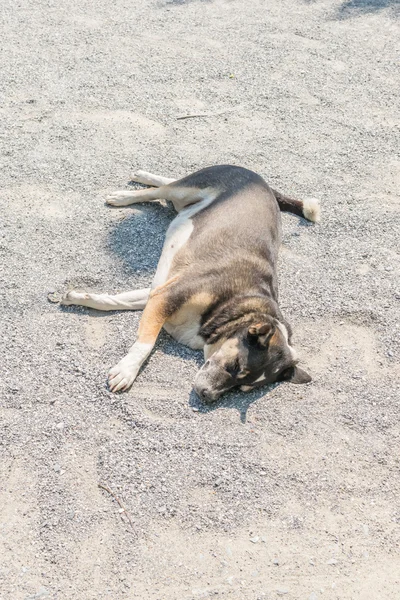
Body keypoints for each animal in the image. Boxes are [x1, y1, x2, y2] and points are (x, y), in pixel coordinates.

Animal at [61, 164, 320, 400]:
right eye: (235, 365)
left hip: (183, 201)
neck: (234, 308)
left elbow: (115, 301)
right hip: (187, 188)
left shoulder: (158, 292)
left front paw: (78, 297)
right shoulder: (167, 297)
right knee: (160, 190)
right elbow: (145, 343)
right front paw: (127, 371)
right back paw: (125, 194)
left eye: (242, 389)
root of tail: (261, 179)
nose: (207, 396)